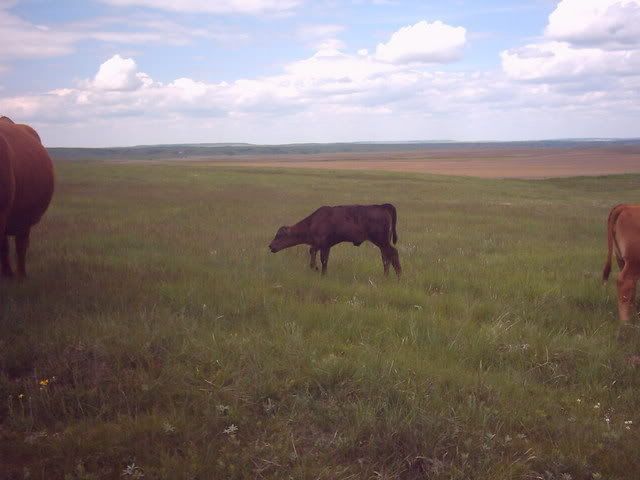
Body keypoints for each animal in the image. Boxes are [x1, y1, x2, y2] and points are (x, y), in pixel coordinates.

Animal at [269, 203, 401, 277]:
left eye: (279, 235)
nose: (271, 246)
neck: (313, 222)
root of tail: (383, 206)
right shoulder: (325, 246)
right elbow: (322, 258)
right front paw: (322, 272)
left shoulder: (322, 244)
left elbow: (318, 257)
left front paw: (318, 270)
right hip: (382, 243)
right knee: (386, 257)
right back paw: (386, 276)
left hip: (381, 241)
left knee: (393, 253)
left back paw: (398, 276)